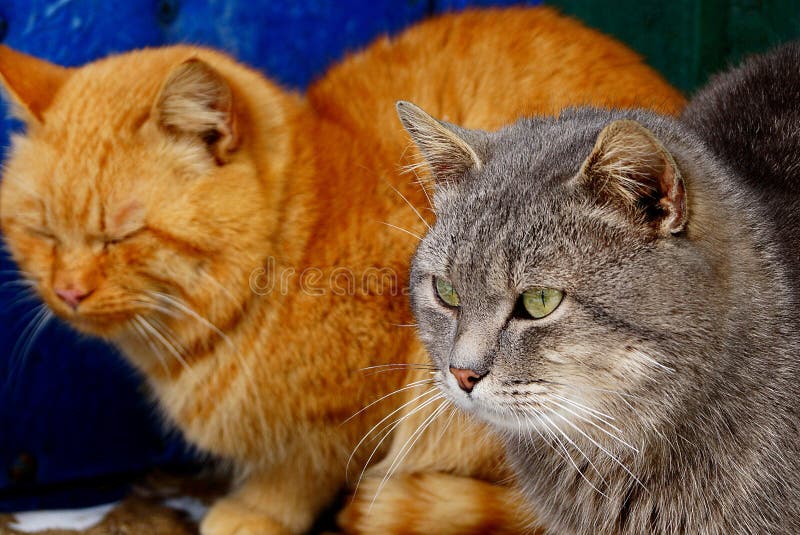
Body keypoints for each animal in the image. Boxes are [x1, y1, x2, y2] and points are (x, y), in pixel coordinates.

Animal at [0, 6, 680, 532]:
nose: (68, 291)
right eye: (40, 231)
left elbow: (306, 465)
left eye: (121, 236)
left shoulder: (371, 390)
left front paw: (261, 508)